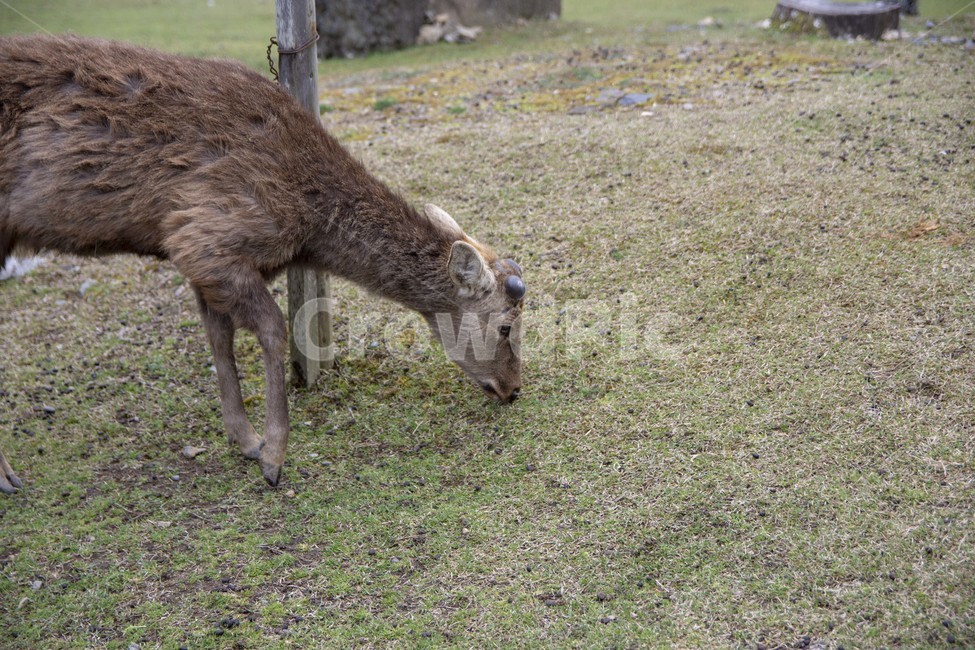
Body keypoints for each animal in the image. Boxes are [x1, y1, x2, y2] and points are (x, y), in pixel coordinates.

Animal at [0, 34, 526, 493]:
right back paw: (8, 477)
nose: (513, 389)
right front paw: (273, 458)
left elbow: (219, 336)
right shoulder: (203, 236)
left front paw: (246, 440)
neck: (306, 219)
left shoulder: (203, 262)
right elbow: (273, 329)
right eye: (506, 325)